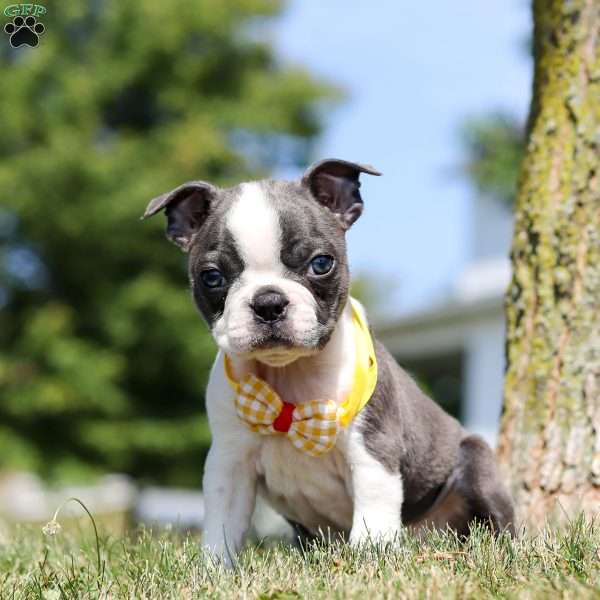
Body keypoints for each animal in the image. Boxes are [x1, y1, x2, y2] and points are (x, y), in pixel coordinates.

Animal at [143, 158, 512, 564]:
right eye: (212, 277)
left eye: (321, 264)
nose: (268, 302)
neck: (290, 374)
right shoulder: (229, 461)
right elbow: (222, 527)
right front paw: (214, 568)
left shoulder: (372, 452)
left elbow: (372, 517)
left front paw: (368, 560)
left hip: (475, 462)